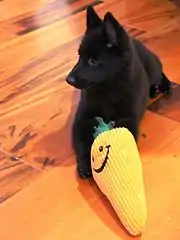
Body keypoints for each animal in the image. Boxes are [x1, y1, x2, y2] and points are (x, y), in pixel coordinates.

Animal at [65, 5, 172, 178]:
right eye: (79, 56)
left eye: (93, 61)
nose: (68, 79)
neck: (107, 87)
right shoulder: (83, 118)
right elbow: (83, 140)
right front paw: (86, 162)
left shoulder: (127, 119)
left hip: (153, 67)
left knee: (159, 72)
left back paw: (163, 85)